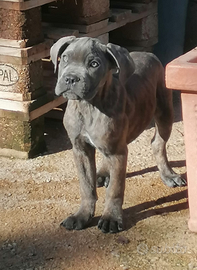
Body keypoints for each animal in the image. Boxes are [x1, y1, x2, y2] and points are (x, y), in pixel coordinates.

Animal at [50, 35, 185, 233]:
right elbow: (86, 185)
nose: (70, 79)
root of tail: (149, 53)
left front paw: (111, 218)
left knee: (158, 143)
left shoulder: (117, 152)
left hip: (165, 113)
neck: (89, 105)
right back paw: (103, 173)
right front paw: (82, 215)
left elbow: (115, 188)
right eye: (65, 58)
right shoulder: (81, 149)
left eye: (94, 64)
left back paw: (168, 175)